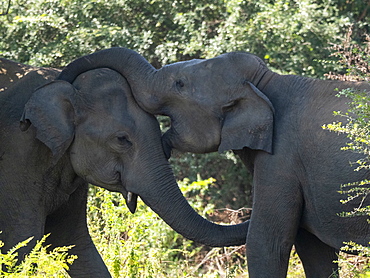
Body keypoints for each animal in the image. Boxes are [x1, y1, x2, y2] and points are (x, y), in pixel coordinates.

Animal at [57, 47, 370, 278]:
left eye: (180, 84)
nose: (65, 78)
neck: (266, 82)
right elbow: (314, 249)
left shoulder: (281, 158)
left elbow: (268, 243)